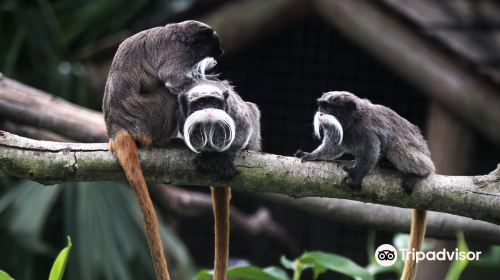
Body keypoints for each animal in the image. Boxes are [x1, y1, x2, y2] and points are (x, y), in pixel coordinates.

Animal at [101, 20, 223, 280]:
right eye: (214, 46)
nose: (221, 53)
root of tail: (117, 129)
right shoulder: (177, 53)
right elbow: (172, 80)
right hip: (147, 116)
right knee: (168, 96)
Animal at [177, 77, 262, 278]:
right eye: (201, 104)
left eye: (213, 102)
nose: (209, 110)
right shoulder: (180, 116)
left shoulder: (235, 112)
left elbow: (245, 124)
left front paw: (226, 156)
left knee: (252, 110)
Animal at [294, 91, 436, 278]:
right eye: (320, 106)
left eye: (327, 107)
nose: (320, 113)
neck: (352, 123)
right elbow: (331, 149)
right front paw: (311, 155)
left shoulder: (368, 131)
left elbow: (371, 152)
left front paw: (356, 174)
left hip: (419, 154)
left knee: (399, 148)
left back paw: (419, 174)